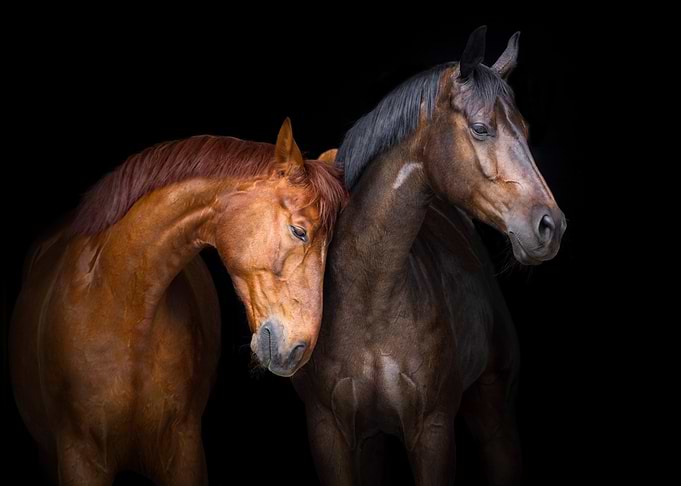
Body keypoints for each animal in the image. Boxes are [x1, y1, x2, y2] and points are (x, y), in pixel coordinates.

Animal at [292, 27, 566, 485]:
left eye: (526, 131)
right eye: (480, 128)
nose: (551, 226)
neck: (370, 298)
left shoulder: (433, 432)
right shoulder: (329, 432)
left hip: (495, 422)